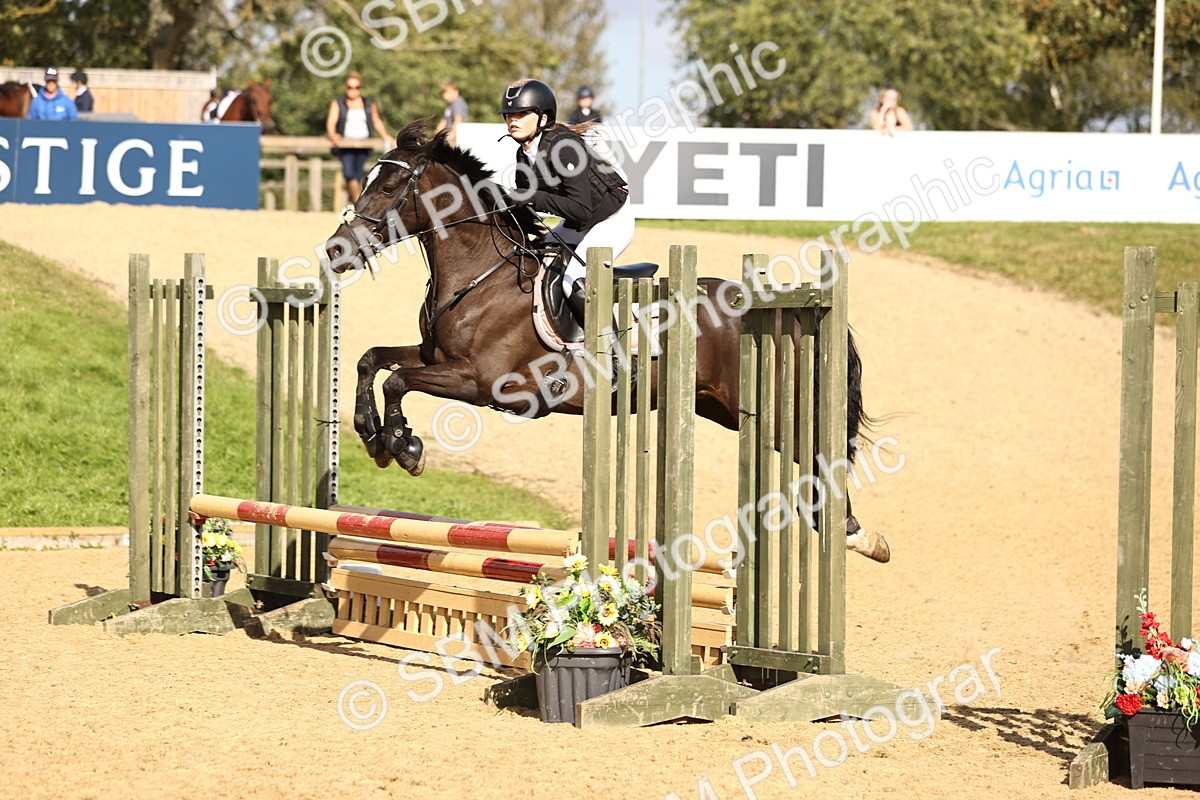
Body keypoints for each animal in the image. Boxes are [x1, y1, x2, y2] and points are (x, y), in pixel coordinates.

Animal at [322, 120, 890, 563]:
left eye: (390, 187)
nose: (334, 250)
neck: (478, 274)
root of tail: (778, 307)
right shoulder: (434, 357)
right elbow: (372, 362)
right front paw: (374, 436)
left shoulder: (483, 383)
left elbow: (397, 381)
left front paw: (403, 446)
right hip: (722, 407)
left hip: (769, 409)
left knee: (820, 450)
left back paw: (857, 534)